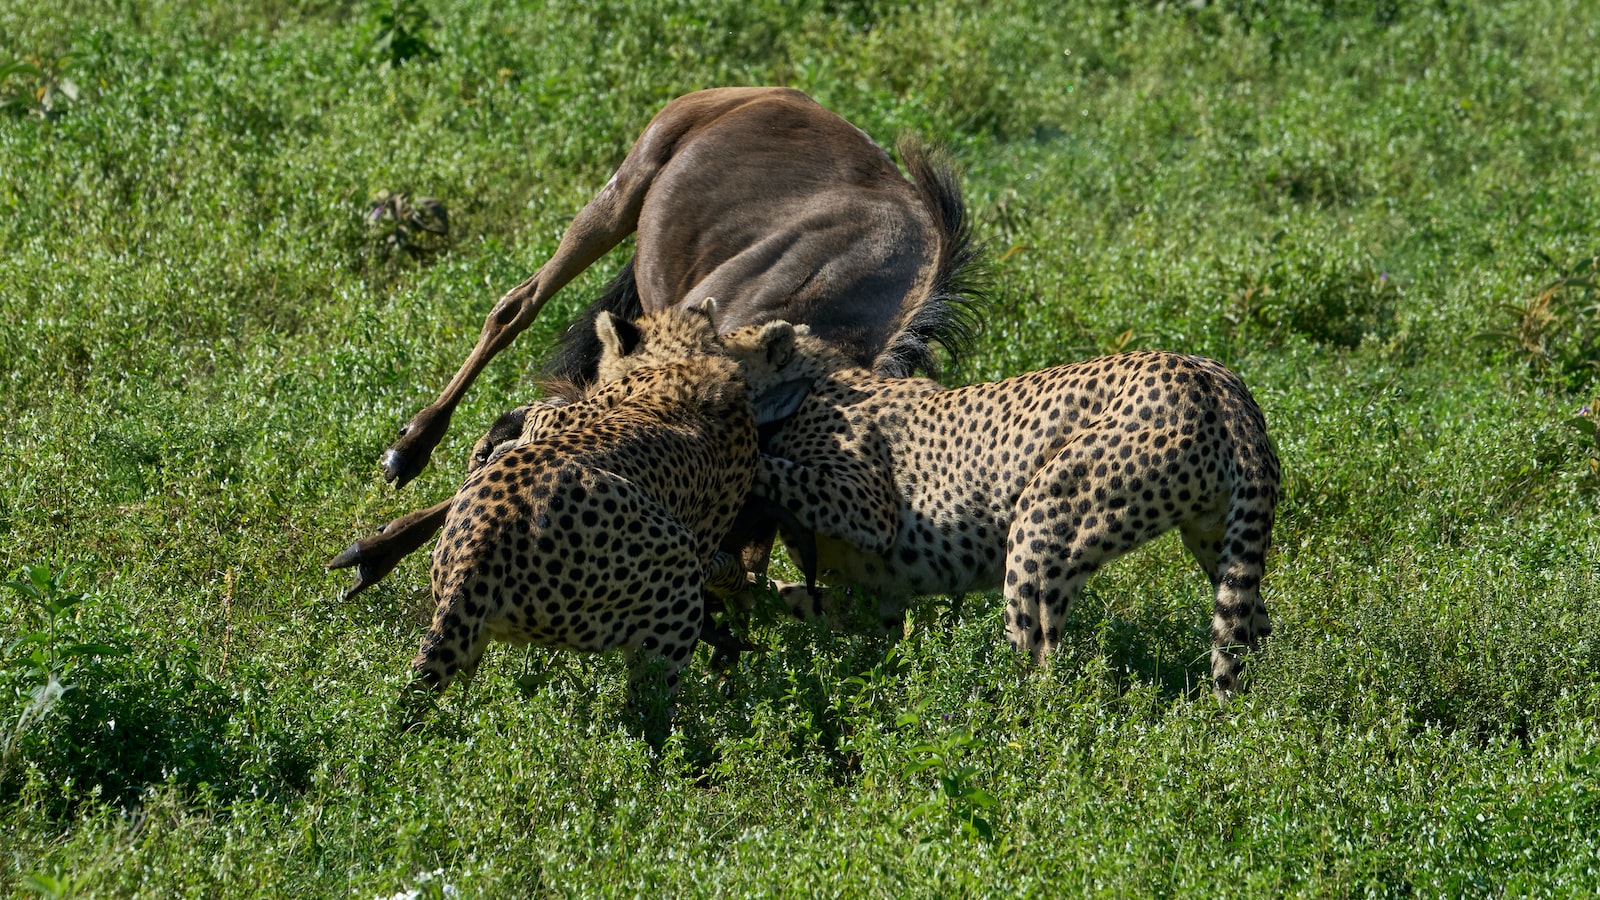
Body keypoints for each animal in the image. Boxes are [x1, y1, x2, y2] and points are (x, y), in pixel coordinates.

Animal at [713, 318, 1286, 698]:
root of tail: (1209, 373)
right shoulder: (870, 590)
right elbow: (813, 604)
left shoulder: (871, 510)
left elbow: (779, 469)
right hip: (1218, 537)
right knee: (1250, 625)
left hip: (1041, 516)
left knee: (1042, 653)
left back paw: (1009, 715)